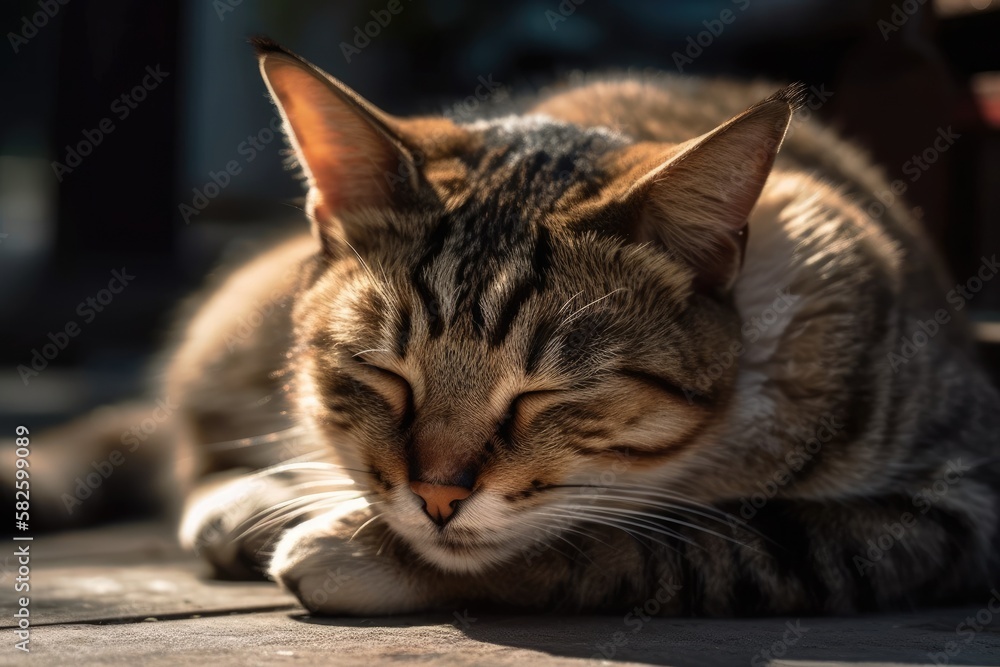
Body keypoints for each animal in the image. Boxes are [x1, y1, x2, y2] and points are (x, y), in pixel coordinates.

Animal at [152, 37, 1000, 616]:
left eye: (545, 395)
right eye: (385, 375)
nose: (436, 496)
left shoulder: (955, 505)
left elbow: (672, 541)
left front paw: (359, 548)